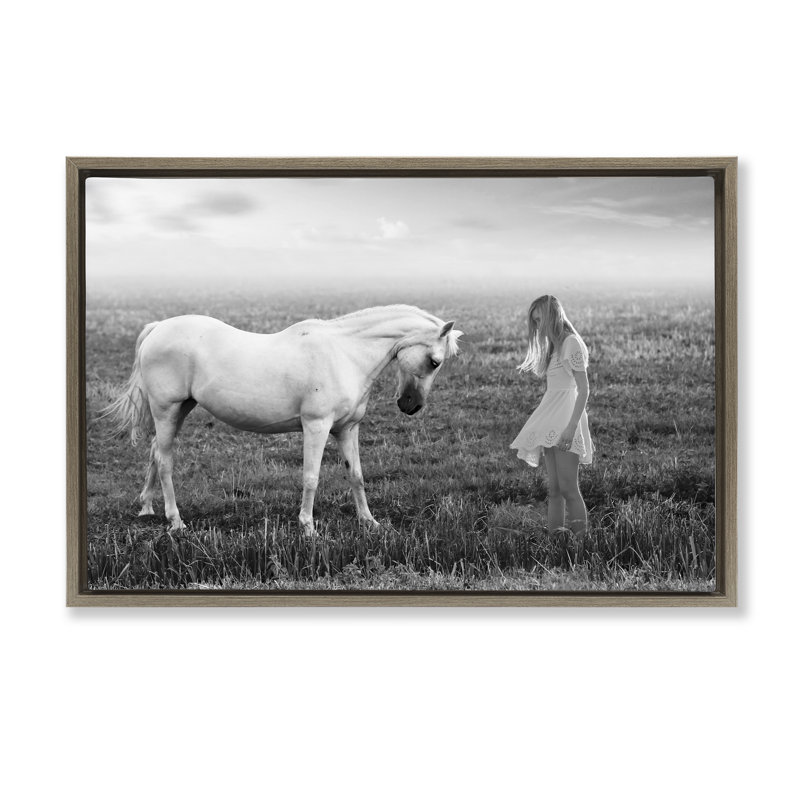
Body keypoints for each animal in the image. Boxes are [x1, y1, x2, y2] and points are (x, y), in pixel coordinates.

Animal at [103, 305, 463, 534]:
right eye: (434, 361)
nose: (410, 405)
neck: (345, 354)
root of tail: (157, 329)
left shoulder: (347, 429)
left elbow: (357, 475)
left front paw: (369, 522)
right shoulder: (316, 426)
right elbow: (311, 478)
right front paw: (308, 527)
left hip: (180, 409)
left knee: (155, 452)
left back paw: (147, 508)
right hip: (166, 409)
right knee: (165, 461)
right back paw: (175, 521)